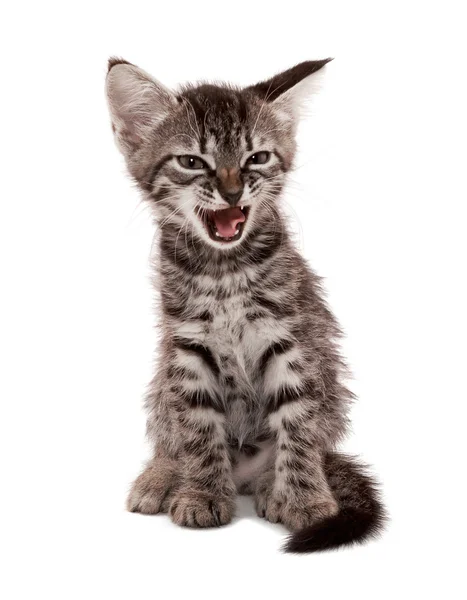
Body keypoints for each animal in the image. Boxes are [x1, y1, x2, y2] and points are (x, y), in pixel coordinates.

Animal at [106, 57, 388, 552]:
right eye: (191, 162)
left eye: (257, 158)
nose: (234, 193)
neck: (224, 271)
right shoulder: (186, 344)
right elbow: (197, 425)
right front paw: (200, 492)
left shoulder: (291, 338)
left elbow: (298, 423)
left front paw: (306, 500)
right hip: (162, 379)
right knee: (170, 429)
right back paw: (163, 474)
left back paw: (272, 486)